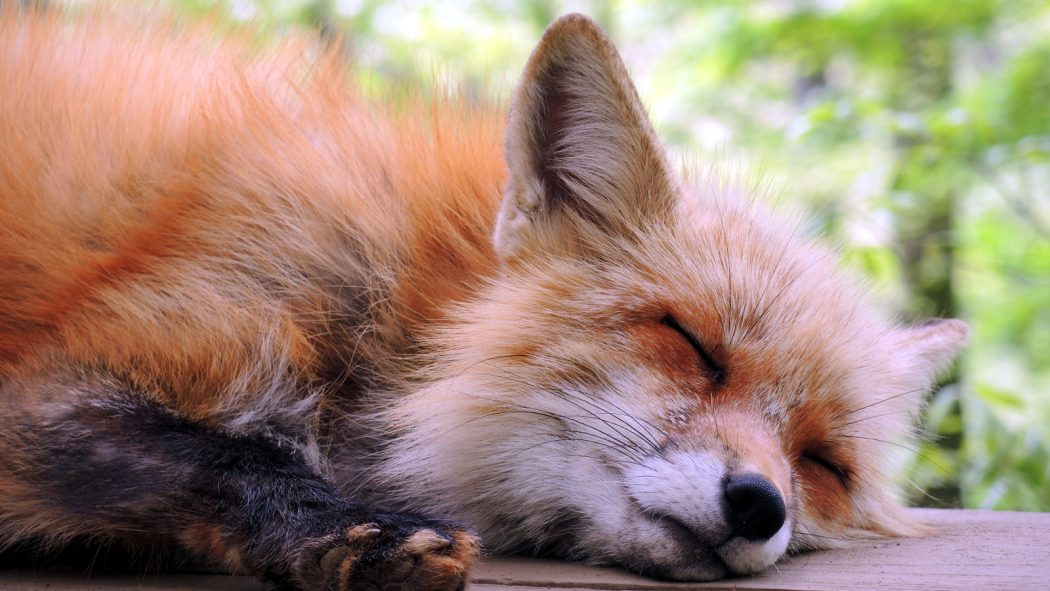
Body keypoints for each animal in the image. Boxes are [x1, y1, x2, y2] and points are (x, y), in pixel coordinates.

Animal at [0, 6, 968, 591]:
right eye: (691, 343)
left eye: (824, 463)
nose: (761, 504)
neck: (410, 315)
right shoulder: (84, 364)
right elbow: (223, 455)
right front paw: (355, 531)